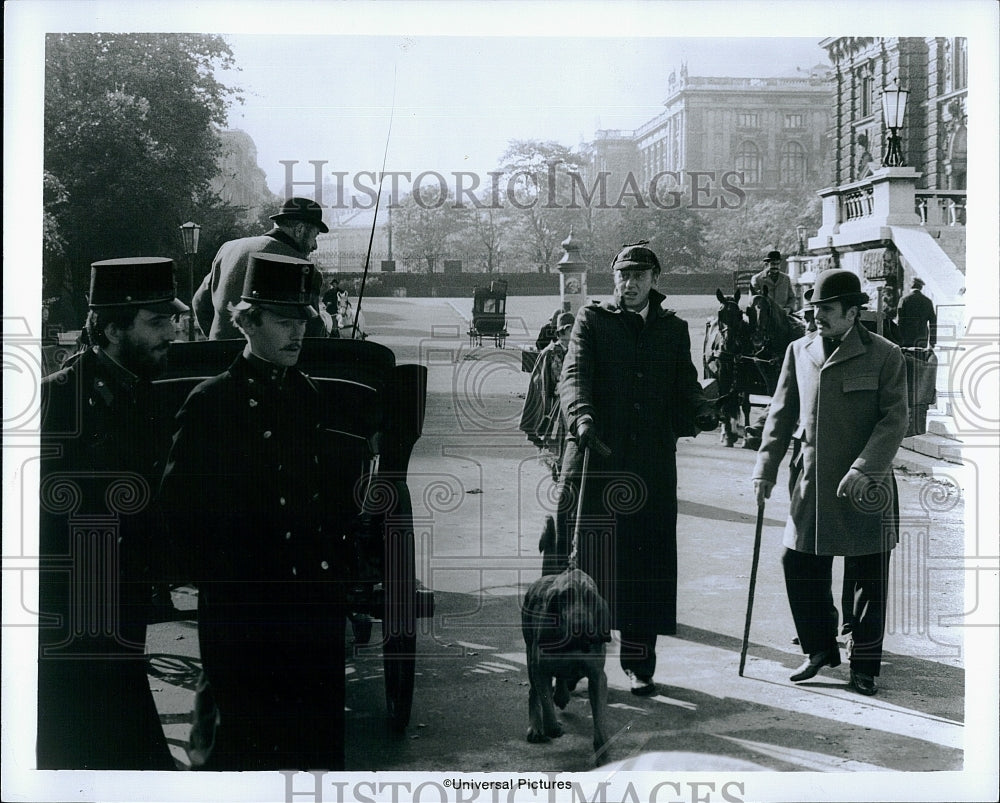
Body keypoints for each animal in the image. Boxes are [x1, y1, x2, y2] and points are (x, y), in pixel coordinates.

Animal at [524, 516, 608, 768]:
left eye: (590, 597)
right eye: (565, 597)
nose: (580, 625)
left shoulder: (597, 677)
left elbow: (600, 720)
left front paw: (604, 755)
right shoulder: (540, 670)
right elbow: (545, 703)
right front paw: (551, 727)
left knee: (561, 678)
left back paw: (561, 694)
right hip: (530, 657)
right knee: (532, 692)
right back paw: (536, 727)